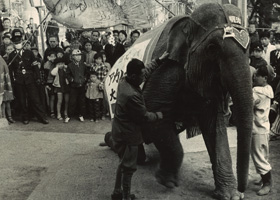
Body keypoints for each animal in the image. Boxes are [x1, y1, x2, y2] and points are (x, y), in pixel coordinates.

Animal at [139, 2, 253, 200]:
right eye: (213, 47)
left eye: (250, 47)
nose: (242, 190)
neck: (188, 21)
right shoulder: (167, 70)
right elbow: (152, 110)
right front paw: (166, 180)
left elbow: (215, 125)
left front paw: (230, 195)